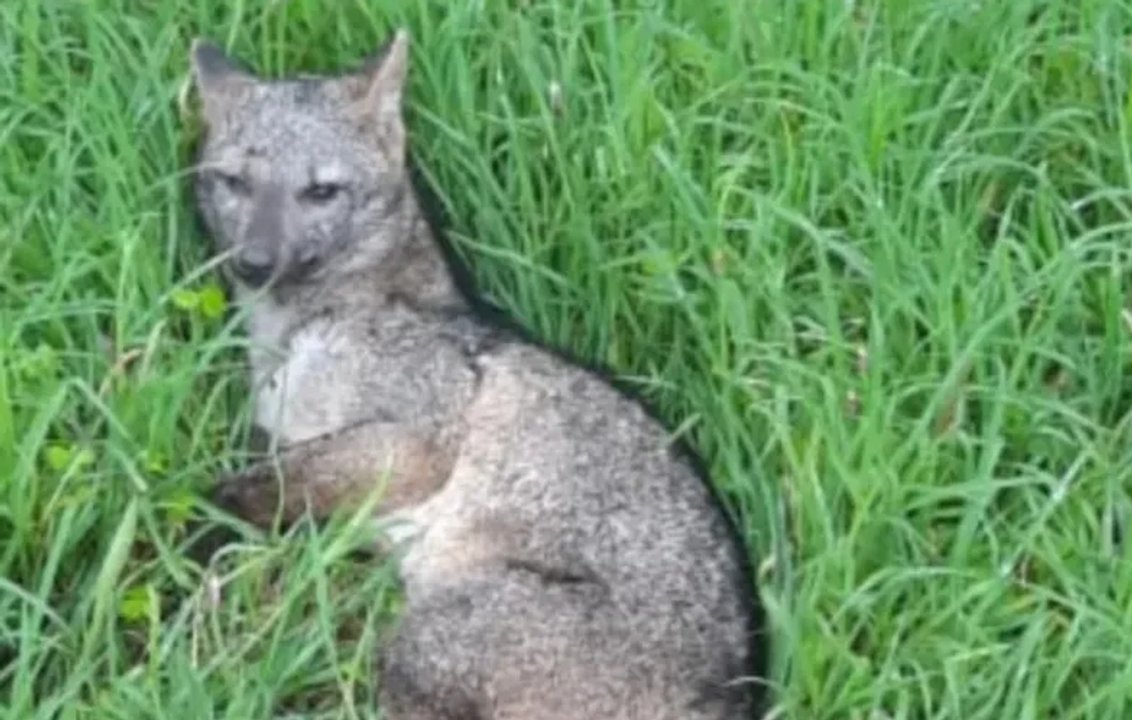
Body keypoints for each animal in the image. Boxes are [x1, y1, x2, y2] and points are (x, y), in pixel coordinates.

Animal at [186, 28, 768, 720]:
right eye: (234, 183)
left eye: (320, 191)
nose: (253, 262)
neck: (301, 331)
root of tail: (734, 697)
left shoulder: (421, 437)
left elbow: (261, 482)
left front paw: (195, 528)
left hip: (424, 640)